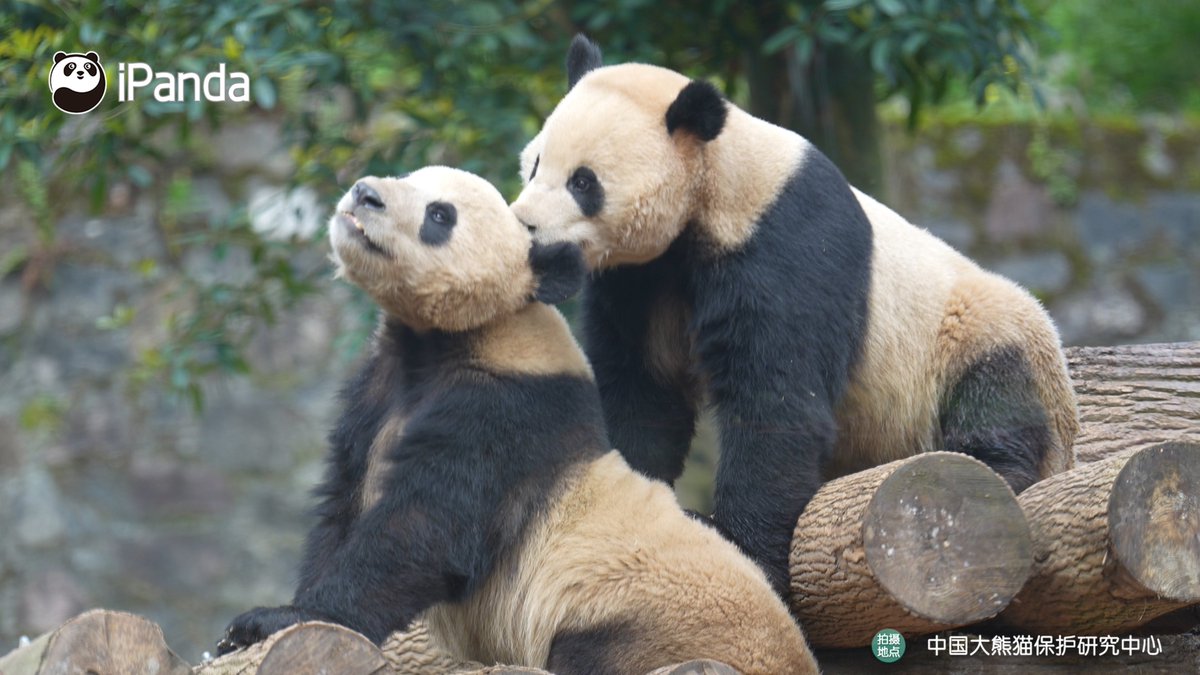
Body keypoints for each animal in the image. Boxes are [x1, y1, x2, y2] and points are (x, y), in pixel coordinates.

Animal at [217, 167, 818, 675]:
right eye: (405, 176)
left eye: (439, 214)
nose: (364, 193)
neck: (448, 339)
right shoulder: (377, 389)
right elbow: (343, 501)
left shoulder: (506, 410)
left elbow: (423, 526)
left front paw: (278, 619)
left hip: (653, 618)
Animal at [510, 35, 1080, 596]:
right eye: (535, 164)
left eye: (584, 183)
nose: (526, 230)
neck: (715, 183)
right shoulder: (642, 279)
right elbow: (642, 394)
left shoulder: (786, 246)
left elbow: (776, 400)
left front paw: (746, 549)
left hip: (971, 336)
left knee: (997, 393)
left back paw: (996, 466)